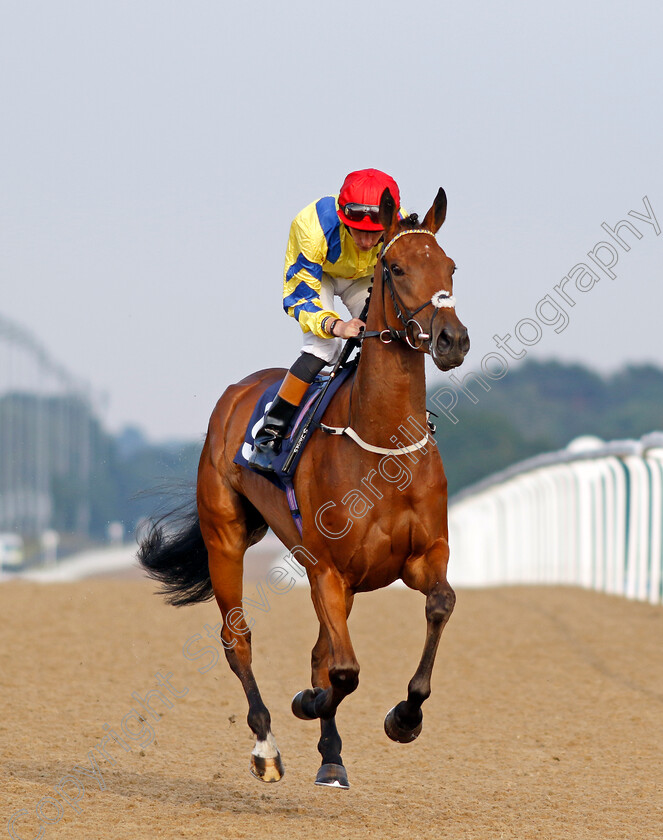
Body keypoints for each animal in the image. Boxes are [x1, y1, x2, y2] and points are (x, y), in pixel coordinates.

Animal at [139, 184, 472, 788]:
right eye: (395, 267)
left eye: (450, 265)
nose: (451, 339)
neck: (382, 448)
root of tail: (238, 391)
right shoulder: (328, 570)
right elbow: (342, 672)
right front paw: (307, 703)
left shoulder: (422, 557)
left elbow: (439, 605)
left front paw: (404, 717)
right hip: (226, 539)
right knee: (239, 640)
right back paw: (267, 746)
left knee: (320, 651)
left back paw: (331, 754)